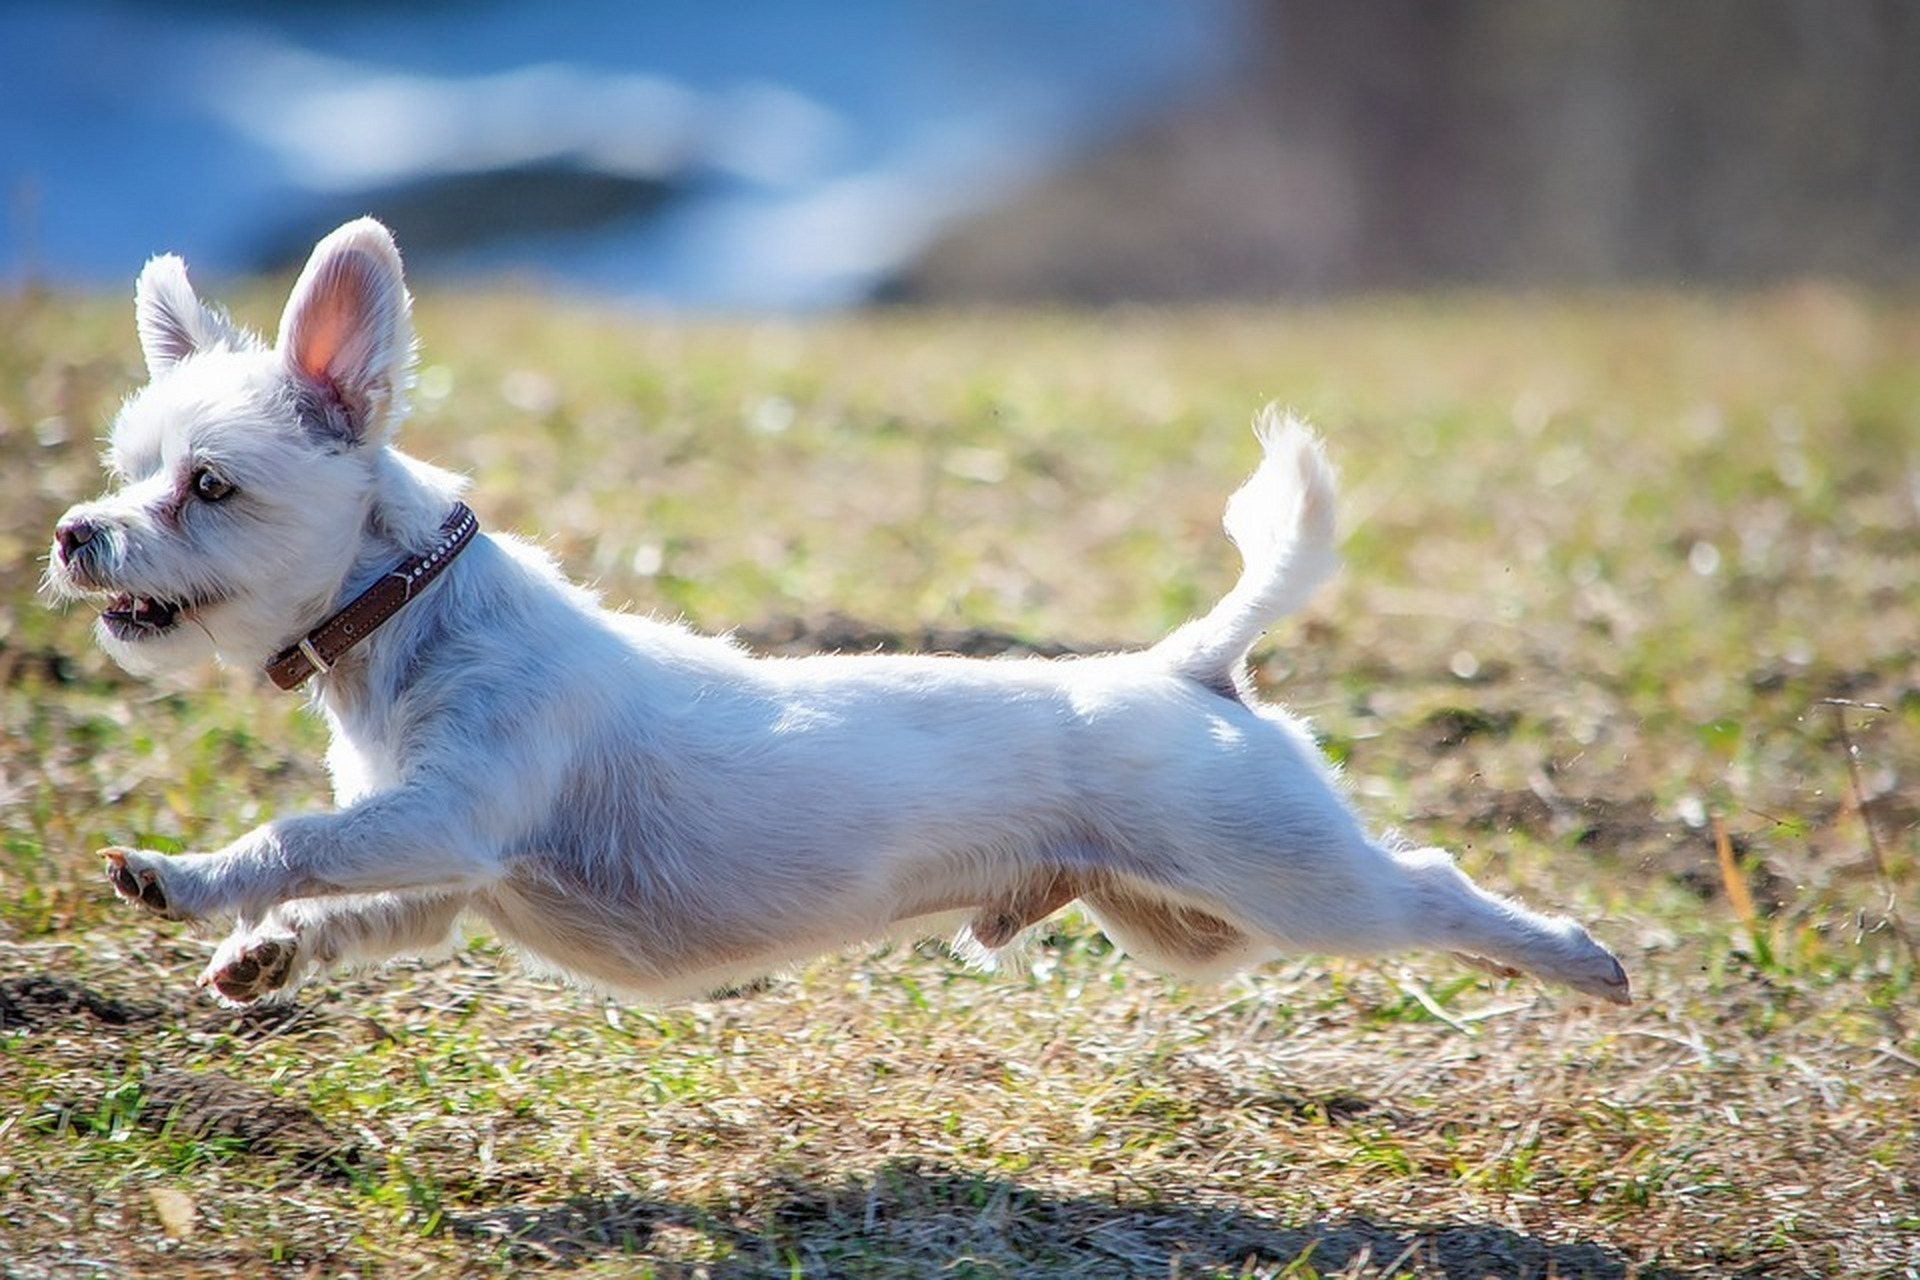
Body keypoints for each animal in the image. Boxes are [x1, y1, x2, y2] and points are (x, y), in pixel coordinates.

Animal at [48, 220, 1635, 1005]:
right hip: (1189, 925)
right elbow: (350, 903)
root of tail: (1188, 670)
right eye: (126, 468)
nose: (73, 533)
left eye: (207, 485)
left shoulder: (453, 809)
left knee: (1430, 884)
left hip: (1294, 880)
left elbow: (292, 839)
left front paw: (186, 877)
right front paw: (261, 953)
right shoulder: (444, 867)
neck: (407, 625)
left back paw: (1578, 959)